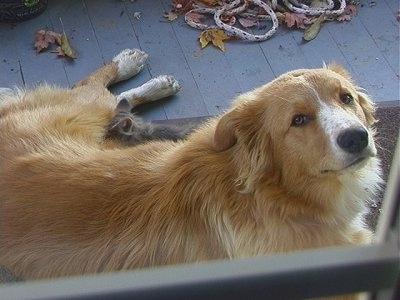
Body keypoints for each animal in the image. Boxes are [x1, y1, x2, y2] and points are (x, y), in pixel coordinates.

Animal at [0, 49, 382, 286]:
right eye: (298, 120)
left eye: (346, 98)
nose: (357, 138)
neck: (274, 198)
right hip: (86, 108)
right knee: (92, 87)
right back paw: (127, 63)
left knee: (115, 99)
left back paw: (149, 78)